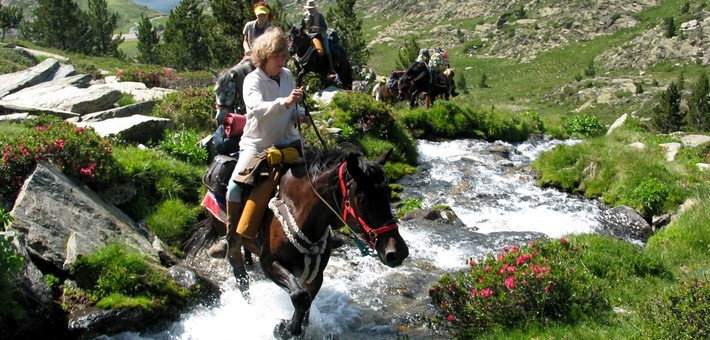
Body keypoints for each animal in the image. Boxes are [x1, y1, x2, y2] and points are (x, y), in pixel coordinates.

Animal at [203, 145, 408, 338]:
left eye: (387, 192)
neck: (299, 210)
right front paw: (285, 330)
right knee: (241, 277)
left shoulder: (316, 273)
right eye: (363, 198)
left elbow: (307, 300)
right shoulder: (269, 263)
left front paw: (296, 328)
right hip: (229, 236)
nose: (397, 253)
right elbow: (300, 296)